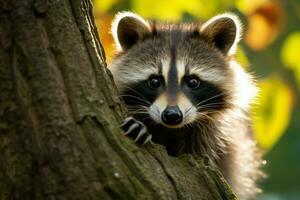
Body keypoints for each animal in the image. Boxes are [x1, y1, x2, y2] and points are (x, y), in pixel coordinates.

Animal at [109, 11, 264, 199]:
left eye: (193, 81)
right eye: (154, 81)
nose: (172, 115)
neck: (172, 129)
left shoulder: (215, 137)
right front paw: (140, 125)